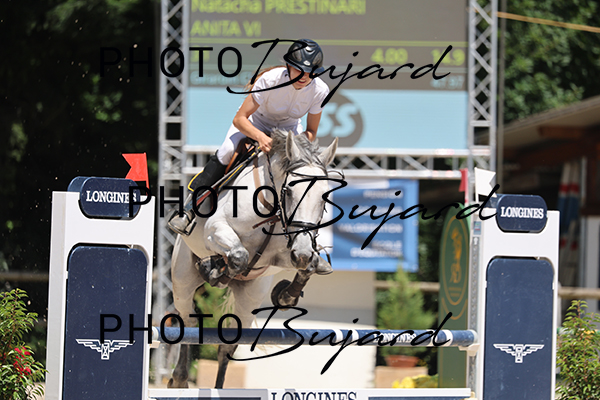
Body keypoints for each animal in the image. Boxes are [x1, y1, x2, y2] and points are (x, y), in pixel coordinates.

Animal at [168, 130, 339, 388]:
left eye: (324, 197)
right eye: (289, 191)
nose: (301, 253)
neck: (273, 208)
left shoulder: (284, 254)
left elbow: (308, 266)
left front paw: (286, 295)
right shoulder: (215, 229)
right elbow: (239, 255)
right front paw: (214, 269)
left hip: (249, 300)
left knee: (226, 347)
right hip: (182, 281)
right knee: (188, 323)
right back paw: (179, 379)